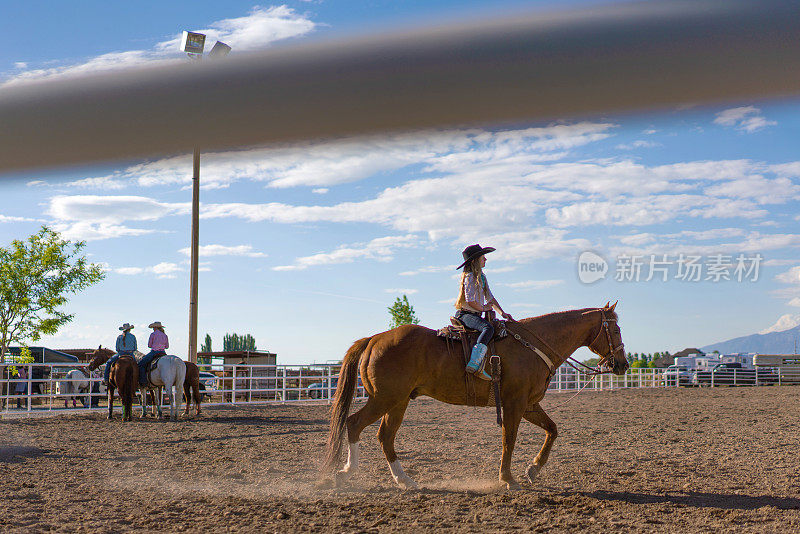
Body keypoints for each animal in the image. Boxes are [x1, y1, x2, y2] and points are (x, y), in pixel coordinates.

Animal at [322, 302, 628, 490]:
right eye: (615, 328)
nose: (623, 364)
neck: (531, 344)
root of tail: (374, 339)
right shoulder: (514, 404)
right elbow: (509, 440)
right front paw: (508, 478)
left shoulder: (529, 404)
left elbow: (552, 430)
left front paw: (533, 469)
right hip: (385, 399)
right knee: (354, 424)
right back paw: (346, 473)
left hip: (398, 402)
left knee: (384, 436)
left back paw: (405, 480)